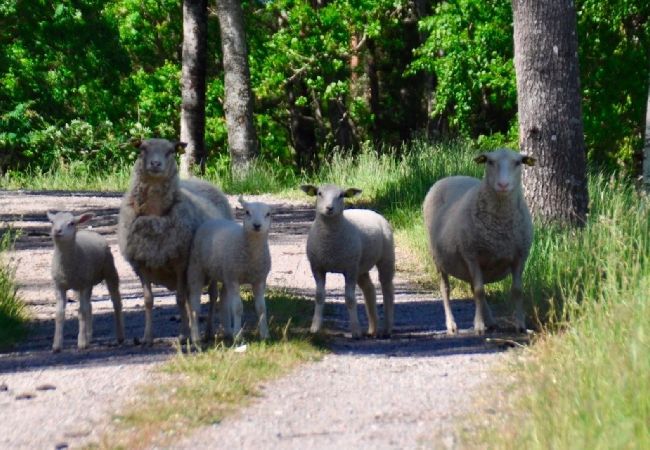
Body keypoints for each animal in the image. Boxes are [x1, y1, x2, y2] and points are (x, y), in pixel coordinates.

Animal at [46, 211, 124, 352]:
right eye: (52, 222)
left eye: (71, 223)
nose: (57, 231)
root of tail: (90, 231)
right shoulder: (59, 286)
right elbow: (59, 314)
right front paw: (56, 345)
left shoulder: (84, 286)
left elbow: (81, 312)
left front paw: (81, 343)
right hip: (84, 283)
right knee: (89, 306)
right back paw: (89, 335)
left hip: (109, 271)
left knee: (116, 303)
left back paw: (120, 336)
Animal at [117, 139, 233, 346]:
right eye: (142, 148)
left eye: (170, 151)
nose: (155, 164)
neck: (155, 216)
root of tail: (201, 181)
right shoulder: (142, 263)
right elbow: (148, 300)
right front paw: (147, 337)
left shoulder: (180, 263)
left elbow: (179, 299)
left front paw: (182, 335)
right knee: (190, 298)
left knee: (212, 297)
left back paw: (208, 331)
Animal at [186, 195, 272, 342]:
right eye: (247, 212)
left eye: (268, 214)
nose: (257, 225)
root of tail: (213, 220)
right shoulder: (234, 279)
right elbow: (237, 308)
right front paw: (238, 336)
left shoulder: (259, 279)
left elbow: (261, 308)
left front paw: (265, 335)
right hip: (197, 268)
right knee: (195, 302)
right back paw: (196, 337)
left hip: (225, 273)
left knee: (223, 300)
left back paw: (228, 331)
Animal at [300, 183, 394, 338]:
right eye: (319, 193)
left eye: (341, 195)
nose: (329, 208)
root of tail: (370, 211)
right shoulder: (317, 267)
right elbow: (319, 296)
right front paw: (315, 328)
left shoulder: (349, 270)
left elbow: (350, 299)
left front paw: (355, 331)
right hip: (360, 266)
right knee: (369, 289)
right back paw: (372, 329)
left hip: (386, 257)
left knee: (387, 289)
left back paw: (387, 329)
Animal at [422, 148, 536, 334]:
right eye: (490, 162)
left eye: (518, 162)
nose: (503, 185)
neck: (500, 226)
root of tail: (450, 177)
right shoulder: (472, 255)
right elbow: (479, 290)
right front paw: (479, 325)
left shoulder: (520, 256)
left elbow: (517, 291)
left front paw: (520, 324)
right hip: (439, 259)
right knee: (446, 289)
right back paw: (451, 325)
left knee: (471, 286)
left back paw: (490, 320)